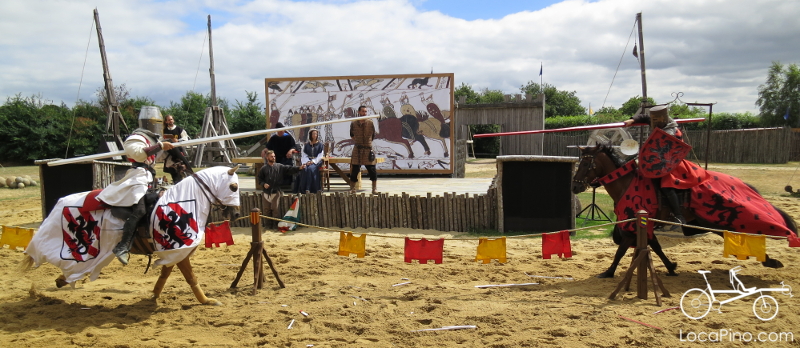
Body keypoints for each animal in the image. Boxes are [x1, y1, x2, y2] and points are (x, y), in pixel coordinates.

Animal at [21, 166, 241, 304]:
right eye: (233, 187)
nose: (237, 214)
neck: (186, 200)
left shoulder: (173, 253)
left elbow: (165, 274)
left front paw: (154, 296)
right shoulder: (178, 250)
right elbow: (190, 277)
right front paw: (207, 301)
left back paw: (61, 281)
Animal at [572, 143, 792, 278]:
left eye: (586, 162)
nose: (575, 186)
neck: (627, 183)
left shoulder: (635, 225)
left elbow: (621, 250)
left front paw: (608, 272)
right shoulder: (644, 225)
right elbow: (655, 247)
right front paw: (671, 267)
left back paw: (769, 261)